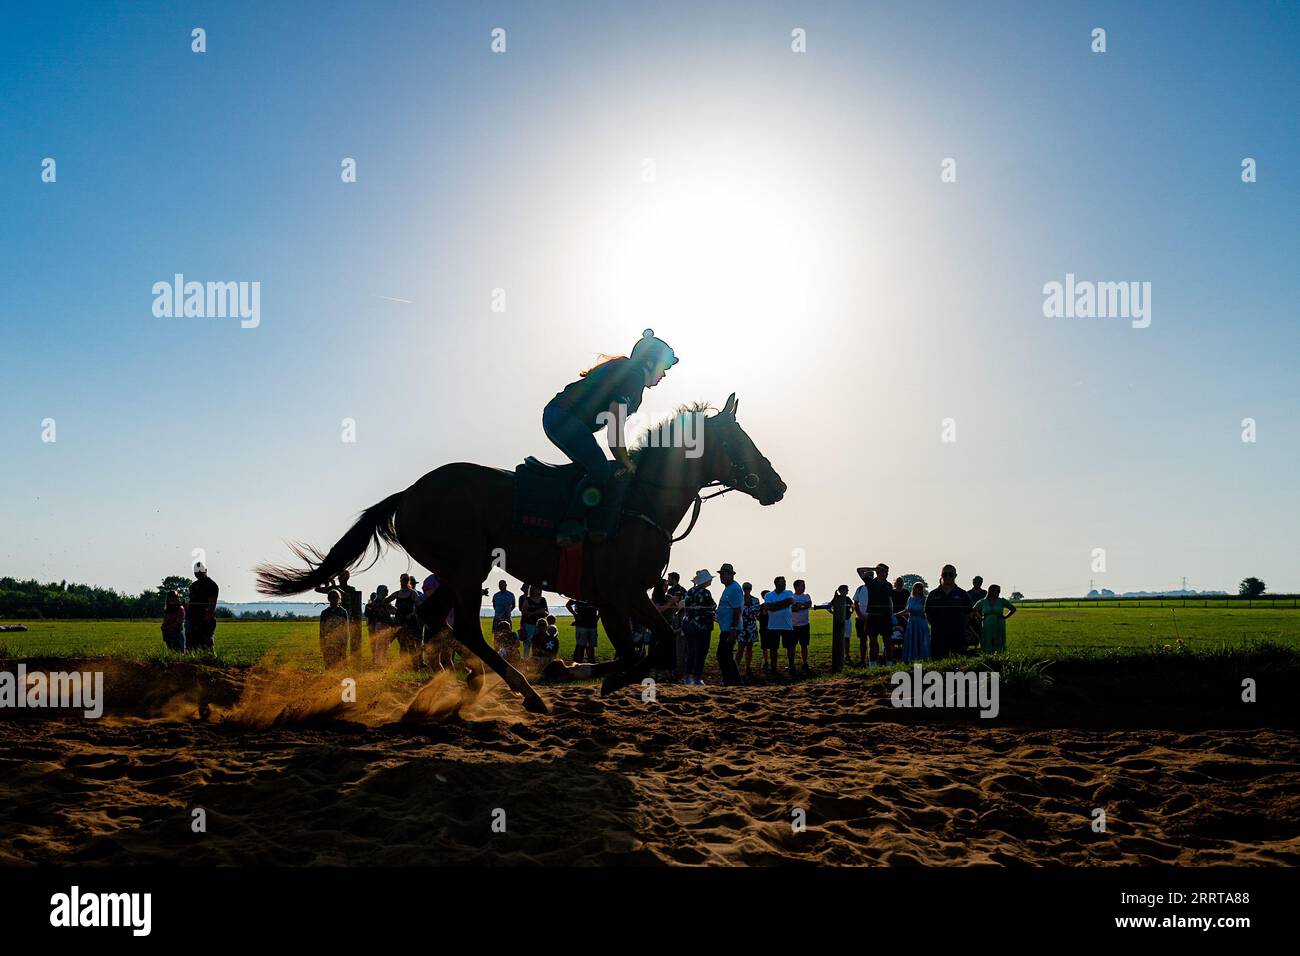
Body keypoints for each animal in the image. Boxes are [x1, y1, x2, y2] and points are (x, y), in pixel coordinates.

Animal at [253, 392, 780, 712]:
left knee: (428, 619)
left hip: (455, 570)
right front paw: (579, 671)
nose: (778, 485)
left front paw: (570, 667)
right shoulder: (619, 594)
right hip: (467, 566)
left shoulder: (618, 599)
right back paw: (519, 690)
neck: (640, 503)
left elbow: (645, 648)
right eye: (739, 439)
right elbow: (657, 645)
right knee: (460, 626)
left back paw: (455, 684)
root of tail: (407, 494)